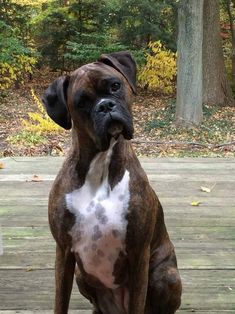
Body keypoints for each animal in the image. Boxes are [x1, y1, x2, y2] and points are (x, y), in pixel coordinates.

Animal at [42, 52, 182, 314]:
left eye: (115, 86)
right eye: (82, 102)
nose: (105, 105)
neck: (101, 166)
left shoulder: (138, 255)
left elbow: (138, 302)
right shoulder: (64, 253)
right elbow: (60, 302)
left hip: (165, 275)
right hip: (81, 275)